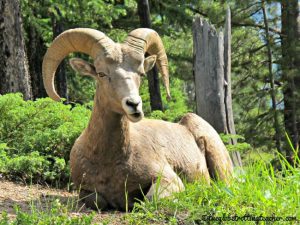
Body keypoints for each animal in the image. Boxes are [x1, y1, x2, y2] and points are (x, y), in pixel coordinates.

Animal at [42, 28, 232, 211]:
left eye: (140, 73)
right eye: (101, 73)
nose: (134, 105)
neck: (110, 161)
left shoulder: (168, 179)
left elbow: (149, 199)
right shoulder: (85, 191)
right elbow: (98, 201)